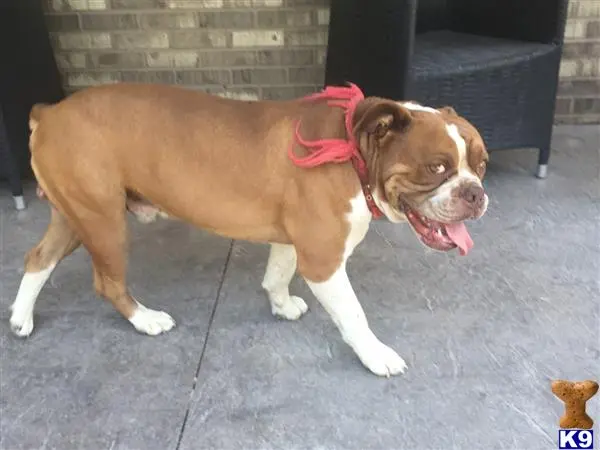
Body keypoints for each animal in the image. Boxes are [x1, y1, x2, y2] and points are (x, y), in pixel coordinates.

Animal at [9, 81, 488, 376]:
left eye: (481, 165)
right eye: (437, 167)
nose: (475, 193)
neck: (355, 150)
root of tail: (50, 113)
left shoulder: (295, 242)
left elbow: (276, 274)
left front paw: (281, 305)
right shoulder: (324, 260)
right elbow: (354, 314)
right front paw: (375, 355)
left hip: (75, 215)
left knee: (37, 258)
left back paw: (20, 318)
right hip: (102, 221)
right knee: (107, 282)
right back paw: (145, 320)